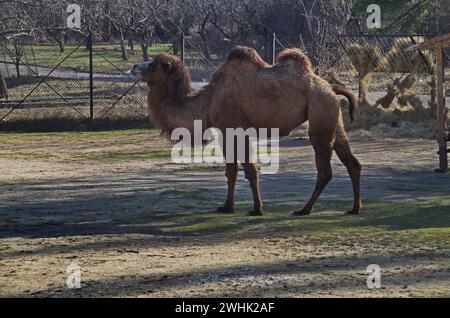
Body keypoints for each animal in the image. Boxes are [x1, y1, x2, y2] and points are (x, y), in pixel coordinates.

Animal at [130, 46, 362, 216]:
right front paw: (226, 206)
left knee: (325, 169)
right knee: (352, 162)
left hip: (319, 115)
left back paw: (304, 210)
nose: (133, 66)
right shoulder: (225, 133)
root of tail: (330, 87)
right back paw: (354, 208)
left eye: (153, 65)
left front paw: (257, 209)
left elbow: (249, 170)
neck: (209, 100)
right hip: (332, 117)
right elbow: (231, 171)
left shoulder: (235, 129)